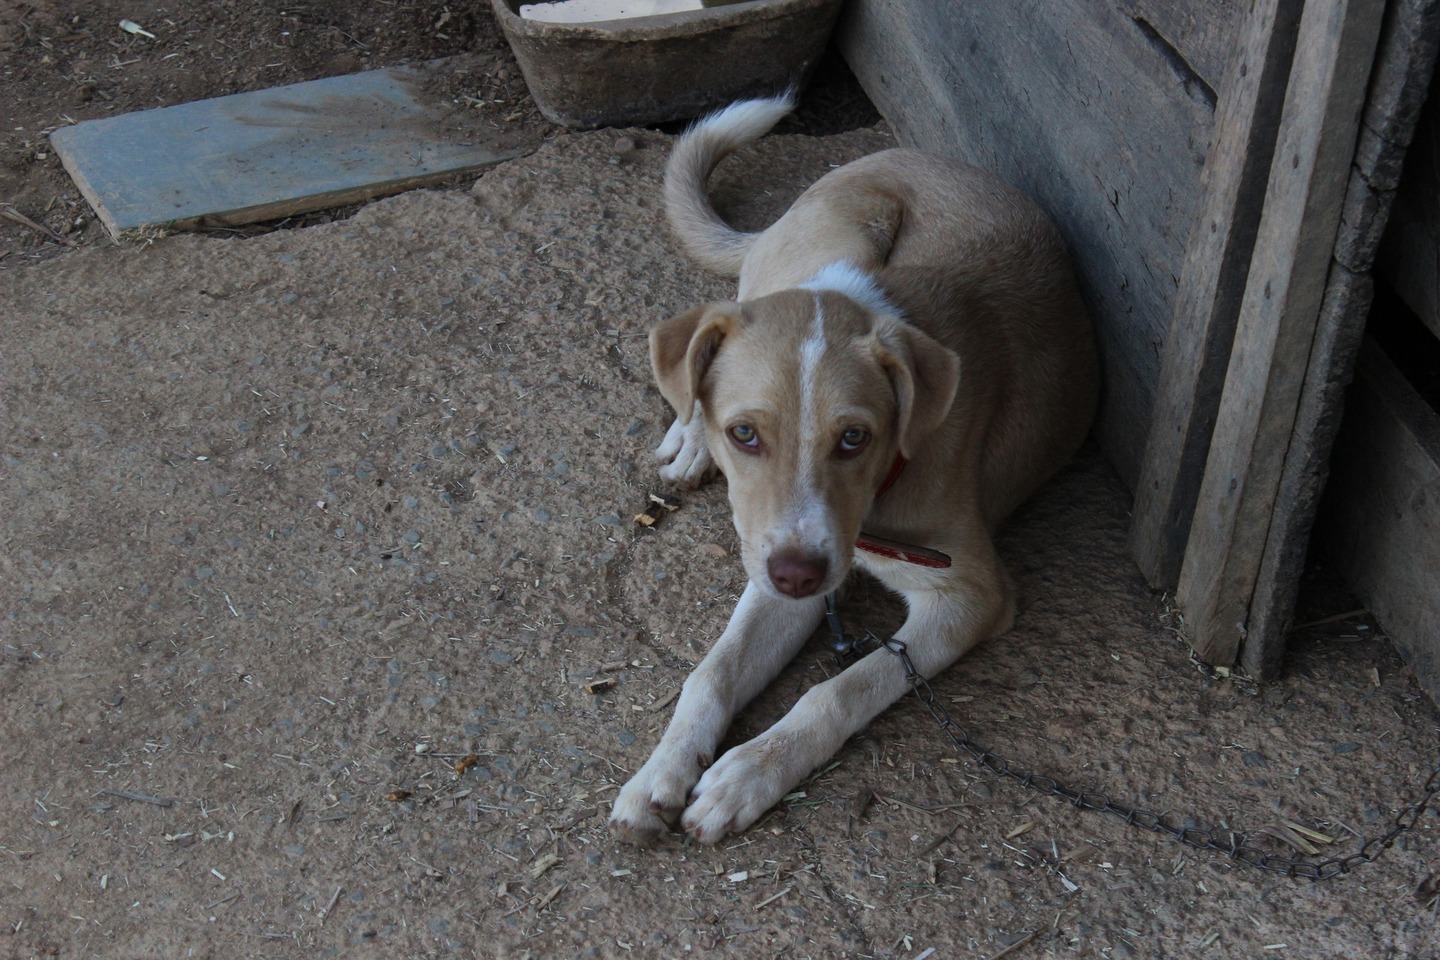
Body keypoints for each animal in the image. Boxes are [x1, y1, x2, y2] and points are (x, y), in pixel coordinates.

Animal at [610, 93, 1100, 846]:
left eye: (853, 439)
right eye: (745, 433)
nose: (799, 575)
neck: (881, 493)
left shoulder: (969, 598)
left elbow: (839, 688)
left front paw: (747, 772)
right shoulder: (778, 560)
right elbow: (713, 671)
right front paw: (658, 773)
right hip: (838, 238)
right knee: (708, 335)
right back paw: (688, 435)